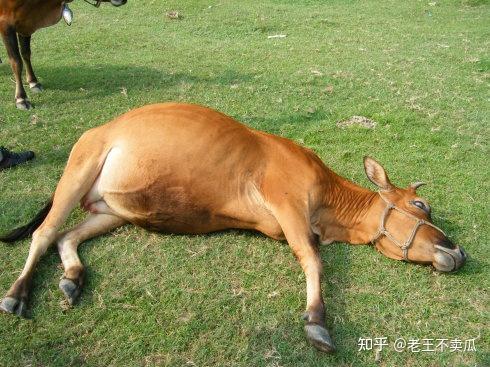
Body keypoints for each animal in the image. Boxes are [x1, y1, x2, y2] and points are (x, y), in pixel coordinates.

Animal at [0, 102, 468, 352]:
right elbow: (313, 259)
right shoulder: (287, 203)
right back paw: (17, 294)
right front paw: (317, 320)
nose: (459, 251)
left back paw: (72, 278)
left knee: (67, 235)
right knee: (45, 233)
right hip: (81, 165)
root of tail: (105, 125)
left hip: (114, 210)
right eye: (420, 205)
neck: (330, 209)